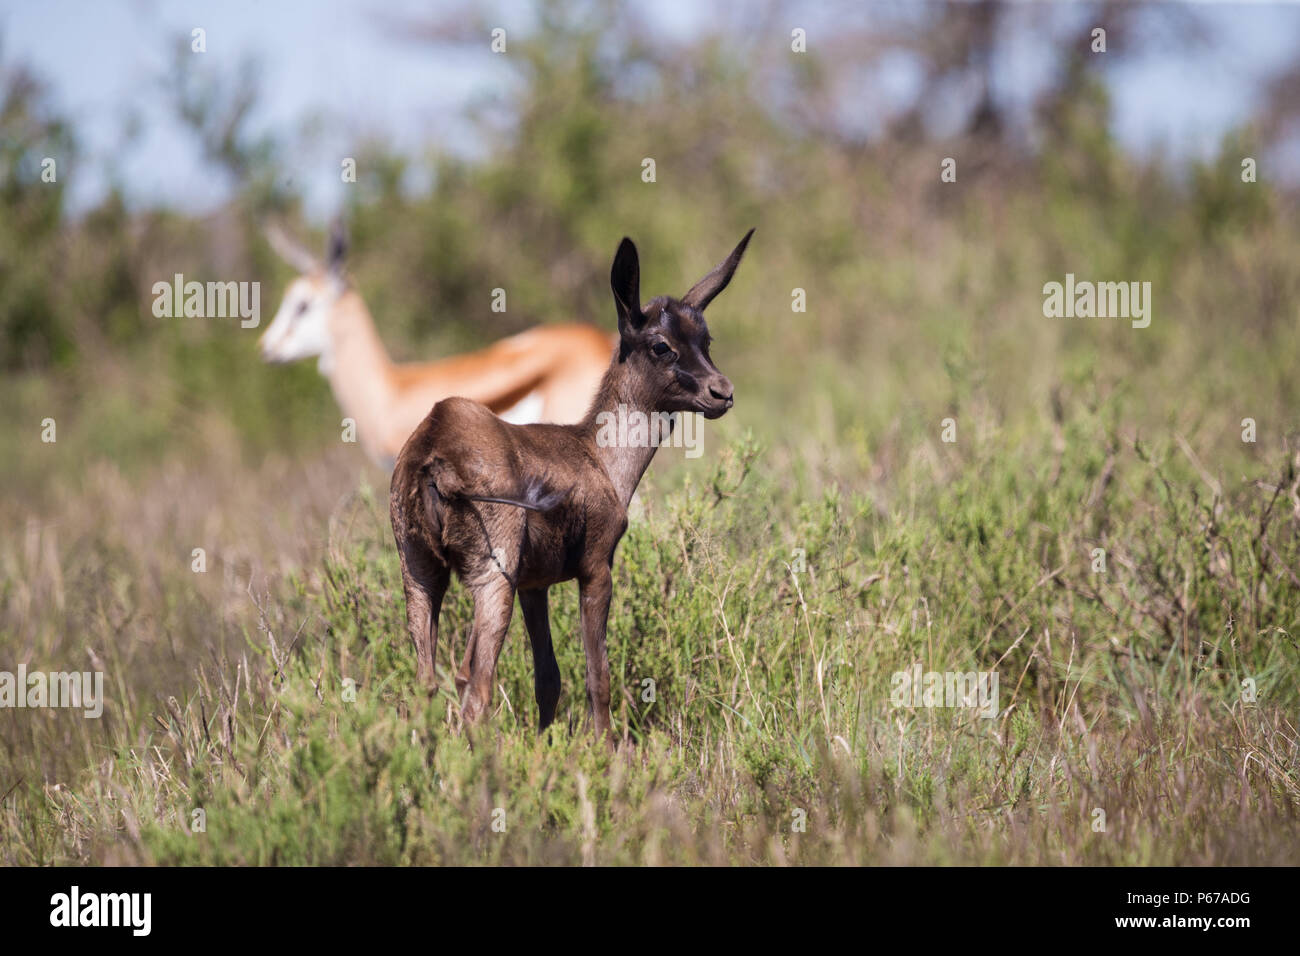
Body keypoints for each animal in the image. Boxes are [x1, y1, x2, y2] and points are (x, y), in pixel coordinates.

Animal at [390, 229, 753, 743]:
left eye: (706, 338)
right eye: (660, 345)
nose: (721, 392)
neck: (598, 456)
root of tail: (434, 446)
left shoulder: (534, 586)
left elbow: (549, 678)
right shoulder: (596, 570)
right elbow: (597, 675)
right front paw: (605, 749)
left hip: (420, 574)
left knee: (426, 682)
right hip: (489, 580)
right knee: (473, 681)